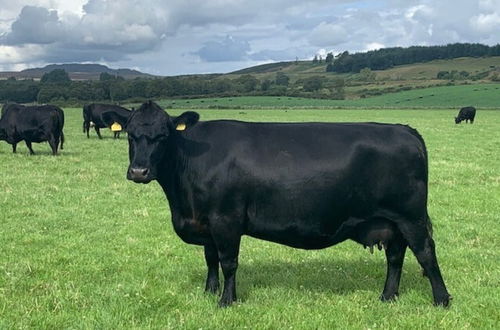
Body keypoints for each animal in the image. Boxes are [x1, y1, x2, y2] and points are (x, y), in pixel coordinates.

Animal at [115, 102, 452, 308]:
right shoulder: (206, 221)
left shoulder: (226, 219)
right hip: (391, 222)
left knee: (425, 252)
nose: (139, 171)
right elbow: (210, 260)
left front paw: (226, 301)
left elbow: (228, 262)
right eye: (131, 135)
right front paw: (208, 293)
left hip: (410, 217)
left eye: (163, 135)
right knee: (395, 256)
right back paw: (387, 296)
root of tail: (403, 128)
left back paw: (441, 300)